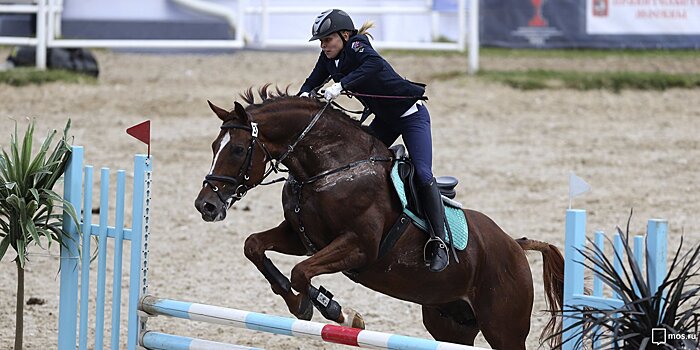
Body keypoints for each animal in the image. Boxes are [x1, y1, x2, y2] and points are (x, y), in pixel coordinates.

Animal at [194, 85, 568, 350]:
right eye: (213, 146)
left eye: (238, 149)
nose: (206, 206)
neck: (331, 167)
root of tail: (515, 246)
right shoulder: (300, 236)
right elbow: (255, 247)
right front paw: (311, 305)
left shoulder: (359, 246)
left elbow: (301, 272)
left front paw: (335, 312)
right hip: (450, 322)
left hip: (504, 328)